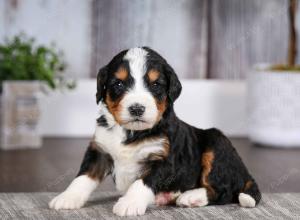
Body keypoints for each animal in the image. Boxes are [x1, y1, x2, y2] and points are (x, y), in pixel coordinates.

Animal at [48, 46, 260, 217]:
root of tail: (245, 172)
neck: (131, 133)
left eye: (155, 84)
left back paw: (190, 196)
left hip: (216, 143)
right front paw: (67, 197)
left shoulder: (165, 158)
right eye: (118, 84)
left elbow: (143, 181)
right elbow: (83, 176)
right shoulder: (100, 149)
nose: (137, 108)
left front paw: (129, 203)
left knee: (224, 191)